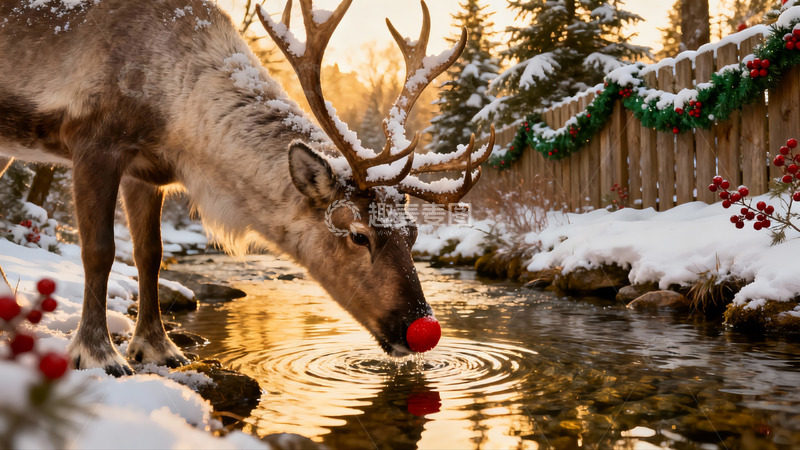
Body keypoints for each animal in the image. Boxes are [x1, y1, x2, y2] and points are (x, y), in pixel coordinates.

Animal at [0, 0, 494, 376]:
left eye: (413, 232)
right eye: (358, 235)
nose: (421, 329)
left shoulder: (147, 172)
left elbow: (149, 255)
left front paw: (158, 348)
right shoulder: (93, 144)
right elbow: (100, 252)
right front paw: (99, 354)